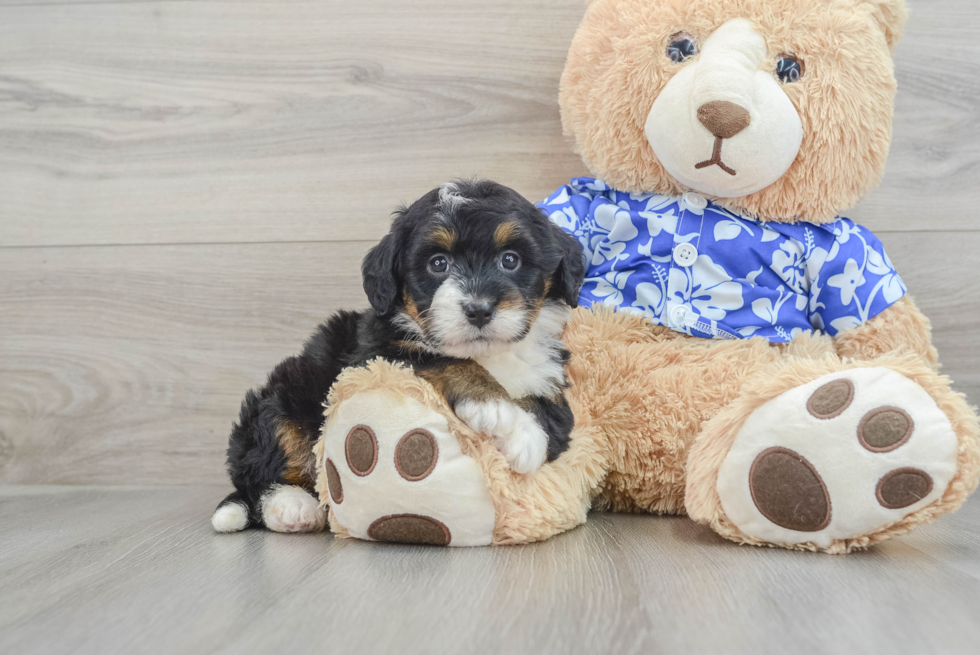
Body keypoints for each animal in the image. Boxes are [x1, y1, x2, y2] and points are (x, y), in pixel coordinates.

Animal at [211, 179, 584, 532]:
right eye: (438, 264)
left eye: (510, 259)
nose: (479, 309)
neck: (489, 354)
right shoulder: (374, 356)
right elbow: (449, 361)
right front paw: (502, 413)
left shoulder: (550, 379)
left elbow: (551, 415)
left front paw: (525, 434)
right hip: (285, 395)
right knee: (261, 467)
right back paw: (291, 506)